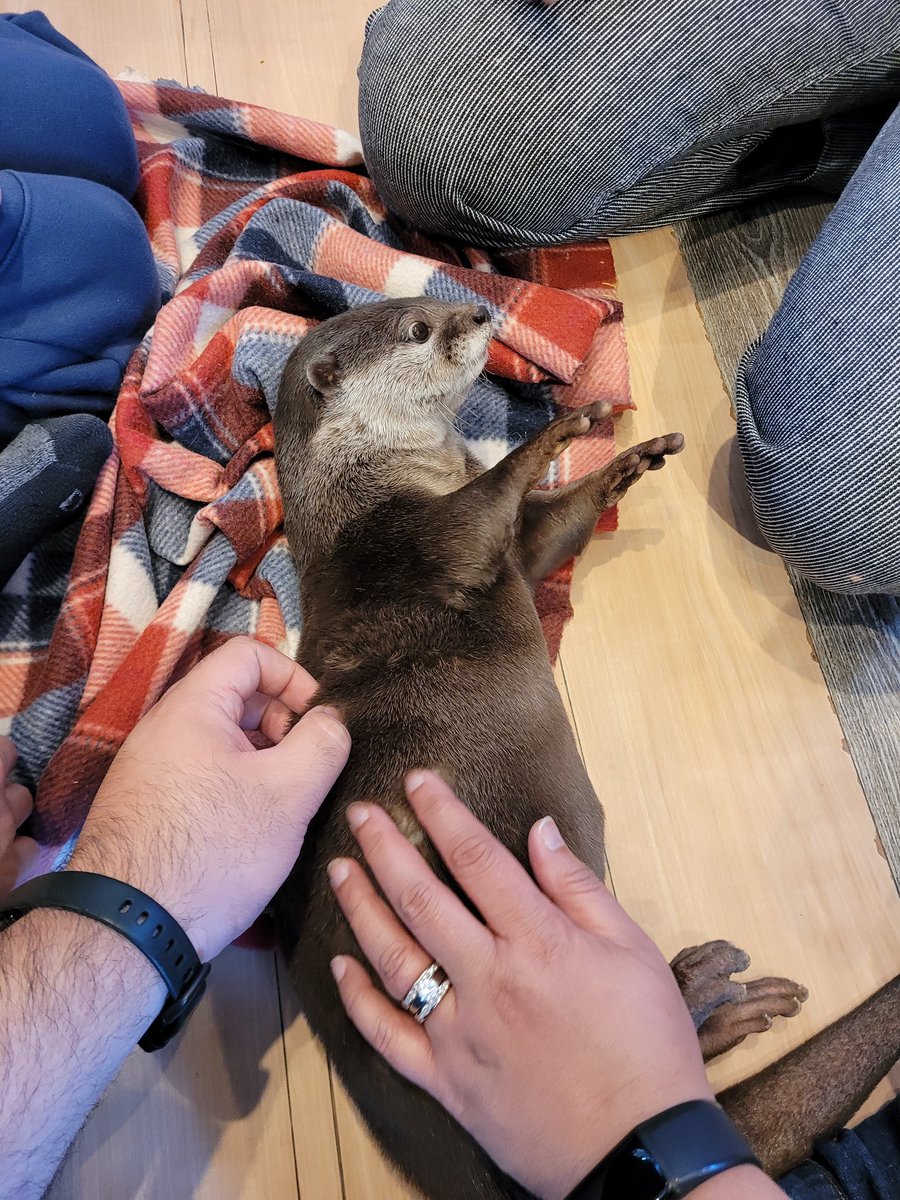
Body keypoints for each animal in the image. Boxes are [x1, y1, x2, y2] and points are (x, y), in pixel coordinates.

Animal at [272, 298, 900, 1200]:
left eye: (430, 299)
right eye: (418, 329)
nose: (478, 309)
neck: (370, 490)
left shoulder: (503, 550)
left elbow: (540, 536)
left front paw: (626, 461)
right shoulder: (404, 541)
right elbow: (485, 502)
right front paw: (565, 425)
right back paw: (704, 988)